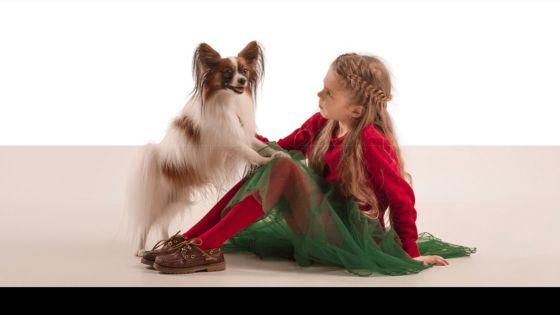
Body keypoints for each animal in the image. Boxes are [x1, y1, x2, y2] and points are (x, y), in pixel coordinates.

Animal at [127, 41, 284, 256]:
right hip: (160, 200)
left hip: (176, 200)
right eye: (227, 73)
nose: (243, 81)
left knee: (163, 223)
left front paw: (277, 152)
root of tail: (159, 159)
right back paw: (141, 250)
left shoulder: (241, 133)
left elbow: (260, 145)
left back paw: (167, 242)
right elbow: (251, 153)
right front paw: (266, 161)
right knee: (146, 223)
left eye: (244, 71)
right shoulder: (231, 141)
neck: (227, 101)